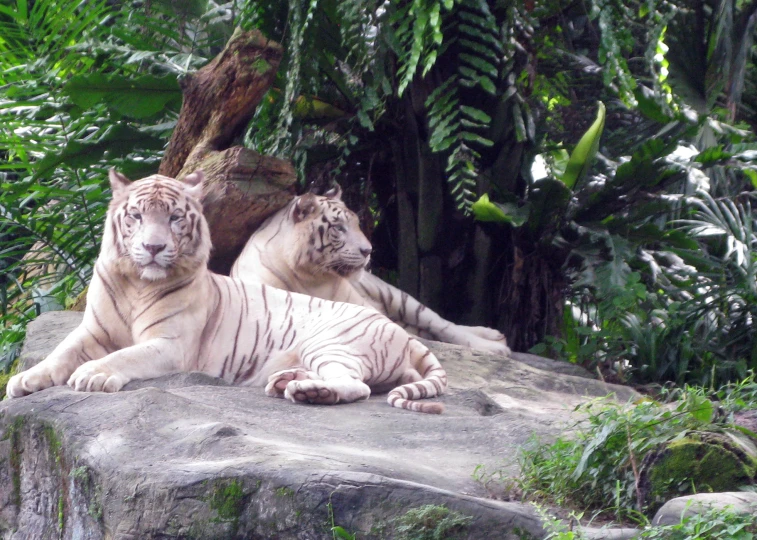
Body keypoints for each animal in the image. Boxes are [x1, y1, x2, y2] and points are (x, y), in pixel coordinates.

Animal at [5, 172, 446, 414]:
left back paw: (309, 392)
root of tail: (405, 337)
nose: (152, 247)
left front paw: (93, 373)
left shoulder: (170, 344)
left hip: (333, 341)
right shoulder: (92, 330)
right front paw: (24, 380)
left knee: (357, 385)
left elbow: (124, 355)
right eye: (136, 216)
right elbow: (59, 352)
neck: (137, 282)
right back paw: (289, 382)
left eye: (175, 218)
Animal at [230, 184, 510, 356]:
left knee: (442, 324)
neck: (309, 276)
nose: (369, 250)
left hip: (397, 295)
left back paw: (494, 340)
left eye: (355, 223)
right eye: (338, 227)